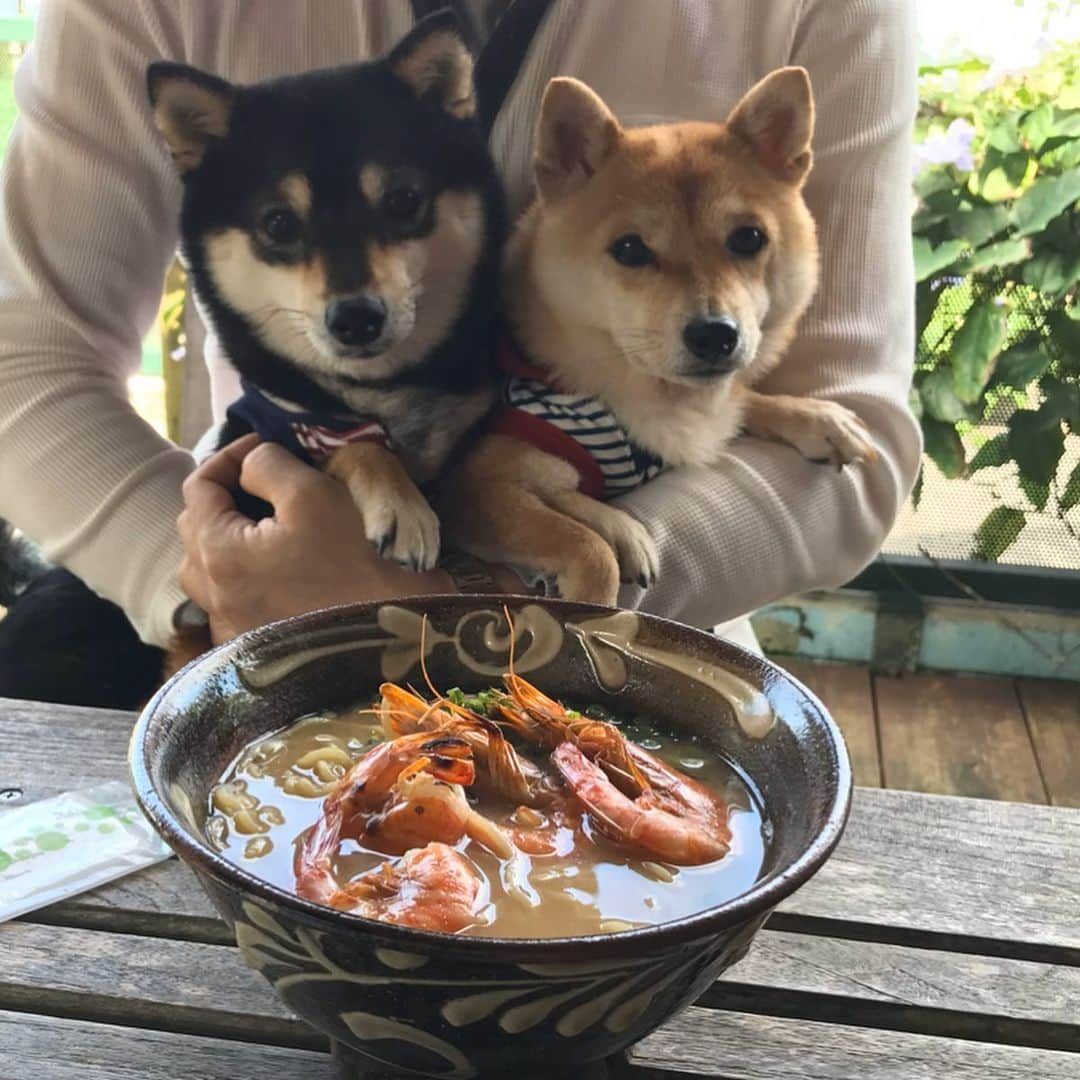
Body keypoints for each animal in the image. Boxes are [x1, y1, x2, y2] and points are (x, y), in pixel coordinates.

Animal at [145, 10, 507, 574]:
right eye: (278, 223)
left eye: (403, 199)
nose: (357, 318)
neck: (379, 393)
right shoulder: (271, 427)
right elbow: (349, 443)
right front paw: (401, 502)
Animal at [438, 67, 876, 609]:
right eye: (629, 249)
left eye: (748, 239)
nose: (715, 334)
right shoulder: (472, 487)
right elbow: (588, 550)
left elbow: (745, 399)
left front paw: (817, 418)